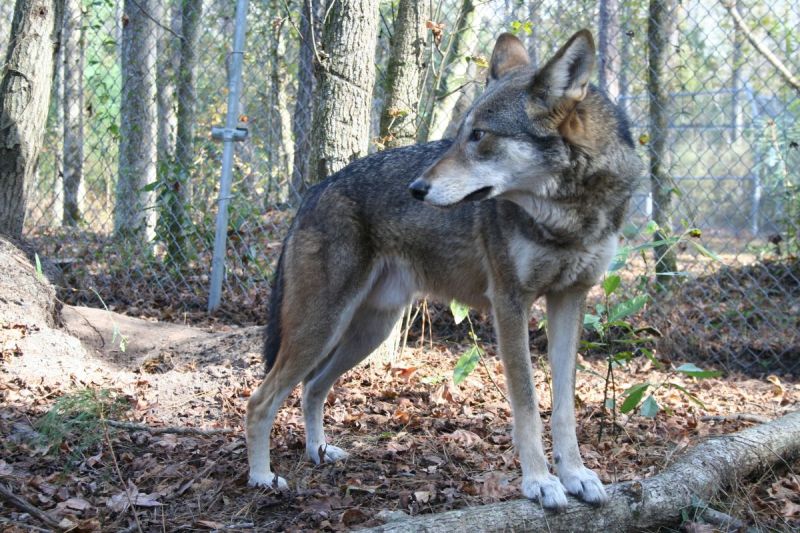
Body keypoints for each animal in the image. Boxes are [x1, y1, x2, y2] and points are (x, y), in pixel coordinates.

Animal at [245, 29, 642, 510]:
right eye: (458, 136)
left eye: (479, 135)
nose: (416, 188)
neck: (568, 216)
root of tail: (312, 192)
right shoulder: (509, 304)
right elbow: (528, 405)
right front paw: (540, 482)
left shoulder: (570, 299)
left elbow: (564, 407)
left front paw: (576, 476)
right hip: (321, 328)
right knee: (261, 400)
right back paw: (262, 478)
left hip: (367, 332)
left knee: (312, 388)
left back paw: (318, 452)